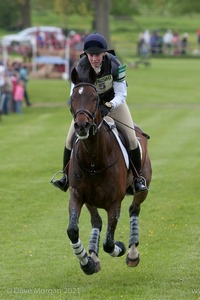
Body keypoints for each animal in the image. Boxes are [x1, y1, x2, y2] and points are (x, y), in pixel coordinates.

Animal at [65, 67, 152, 276]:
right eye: (72, 98)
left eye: (95, 98)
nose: (81, 126)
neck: (93, 160)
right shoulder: (78, 195)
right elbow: (73, 230)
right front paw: (87, 262)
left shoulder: (114, 203)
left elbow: (109, 243)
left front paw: (120, 247)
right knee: (97, 222)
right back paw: (93, 257)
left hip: (142, 187)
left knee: (134, 209)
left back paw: (132, 254)